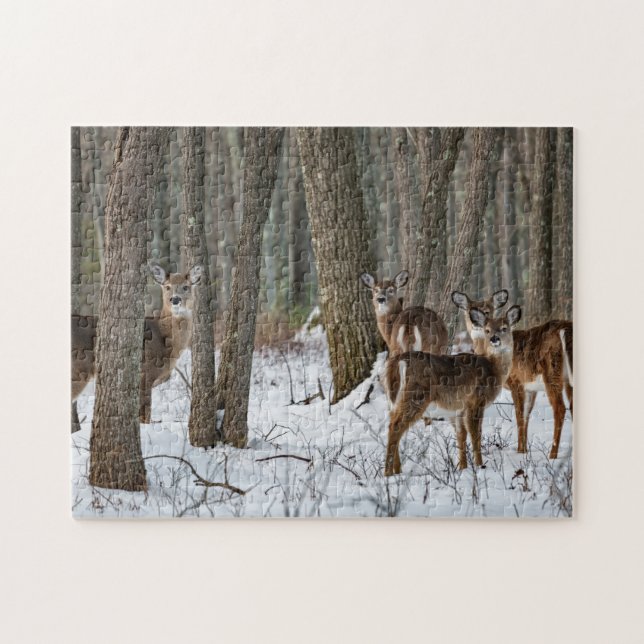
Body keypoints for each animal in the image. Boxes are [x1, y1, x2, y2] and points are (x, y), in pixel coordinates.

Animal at [71, 263, 202, 426]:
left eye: (186, 287)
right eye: (167, 286)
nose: (175, 299)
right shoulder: (145, 375)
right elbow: (145, 416)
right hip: (78, 371)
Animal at [384, 305, 522, 476]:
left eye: (504, 328)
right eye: (487, 330)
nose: (494, 339)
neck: (493, 369)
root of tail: (398, 362)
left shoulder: (458, 409)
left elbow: (461, 435)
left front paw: (462, 467)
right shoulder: (476, 400)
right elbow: (476, 434)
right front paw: (480, 465)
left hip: (394, 398)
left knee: (392, 422)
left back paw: (397, 470)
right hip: (415, 395)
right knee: (395, 426)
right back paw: (388, 472)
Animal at [452, 291, 573, 459]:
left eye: (488, 310)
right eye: (468, 310)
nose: (476, 323)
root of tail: (565, 329)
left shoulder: (516, 381)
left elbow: (519, 416)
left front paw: (520, 450)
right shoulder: (530, 388)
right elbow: (527, 416)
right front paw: (525, 450)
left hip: (552, 372)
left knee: (560, 408)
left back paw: (552, 454)